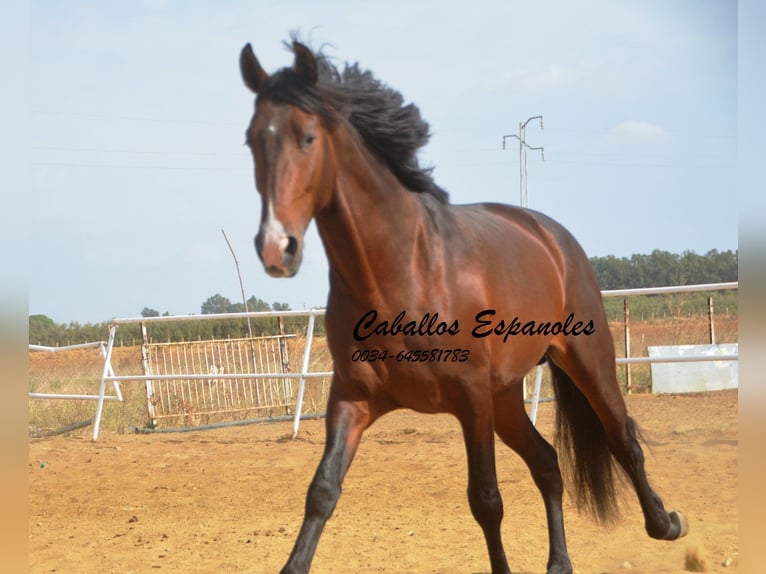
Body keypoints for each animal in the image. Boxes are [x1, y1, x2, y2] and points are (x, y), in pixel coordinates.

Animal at [240, 38, 688, 572]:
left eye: (308, 137)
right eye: (251, 141)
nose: (275, 248)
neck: (405, 274)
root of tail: (553, 237)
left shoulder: (472, 399)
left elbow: (486, 500)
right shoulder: (352, 399)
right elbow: (322, 492)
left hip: (586, 359)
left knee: (622, 438)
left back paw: (666, 524)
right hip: (507, 396)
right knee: (548, 463)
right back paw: (559, 562)